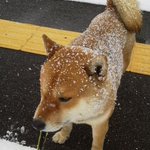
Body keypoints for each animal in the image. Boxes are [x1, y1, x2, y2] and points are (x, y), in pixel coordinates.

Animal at [32, 0, 142, 149]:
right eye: (42, 93)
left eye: (65, 98)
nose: (36, 124)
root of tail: (112, 10)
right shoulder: (69, 116)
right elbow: (66, 125)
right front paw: (63, 134)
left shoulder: (100, 124)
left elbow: (96, 143)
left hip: (126, 60)